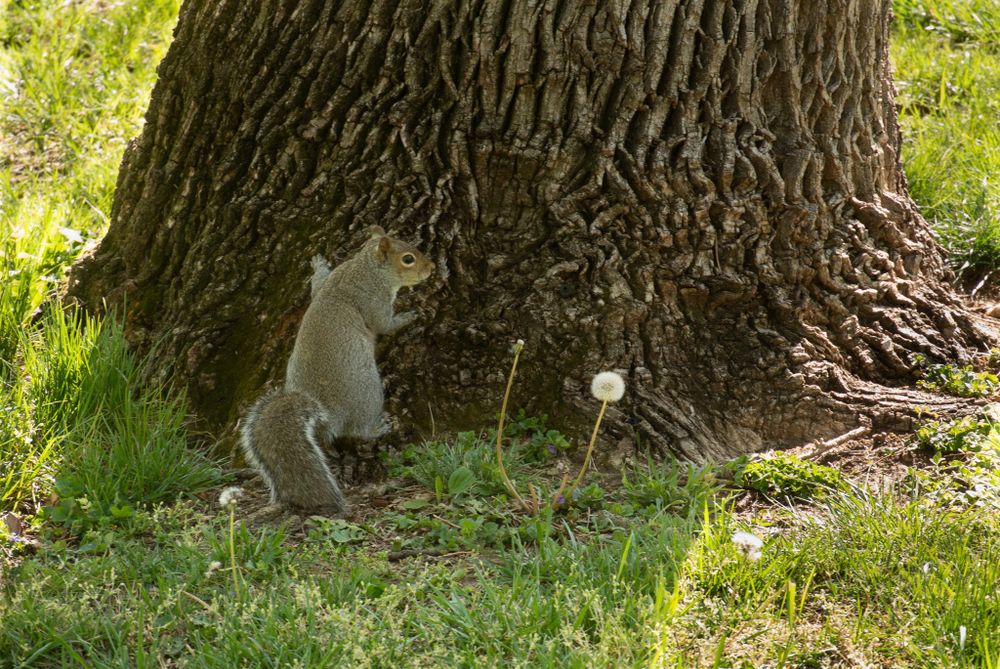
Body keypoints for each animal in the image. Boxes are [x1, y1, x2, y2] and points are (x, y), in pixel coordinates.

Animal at [240, 226, 434, 515]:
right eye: (408, 259)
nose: (431, 268)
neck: (363, 267)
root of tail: (326, 412)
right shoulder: (373, 300)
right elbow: (385, 325)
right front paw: (411, 315)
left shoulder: (329, 282)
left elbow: (316, 286)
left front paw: (318, 263)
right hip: (369, 392)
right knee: (357, 430)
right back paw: (378, 427)